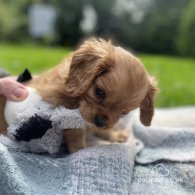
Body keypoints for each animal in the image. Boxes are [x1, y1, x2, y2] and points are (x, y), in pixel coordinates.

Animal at [0, 38, 158, 153]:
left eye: (125, 112)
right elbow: (76, 133)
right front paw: (80, 151)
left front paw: (114, 135)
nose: (100, 122)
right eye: (99, 92)